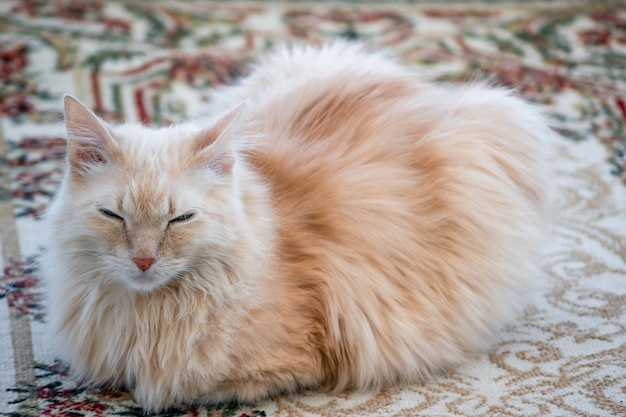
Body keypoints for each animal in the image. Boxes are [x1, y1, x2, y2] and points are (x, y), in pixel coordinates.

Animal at [40, 40, 544, 412]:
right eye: (114, 216)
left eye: (180, 218)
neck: (149, 316)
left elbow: (184, 387)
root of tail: (428, 90)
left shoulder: (295, 361)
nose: (144, 260)